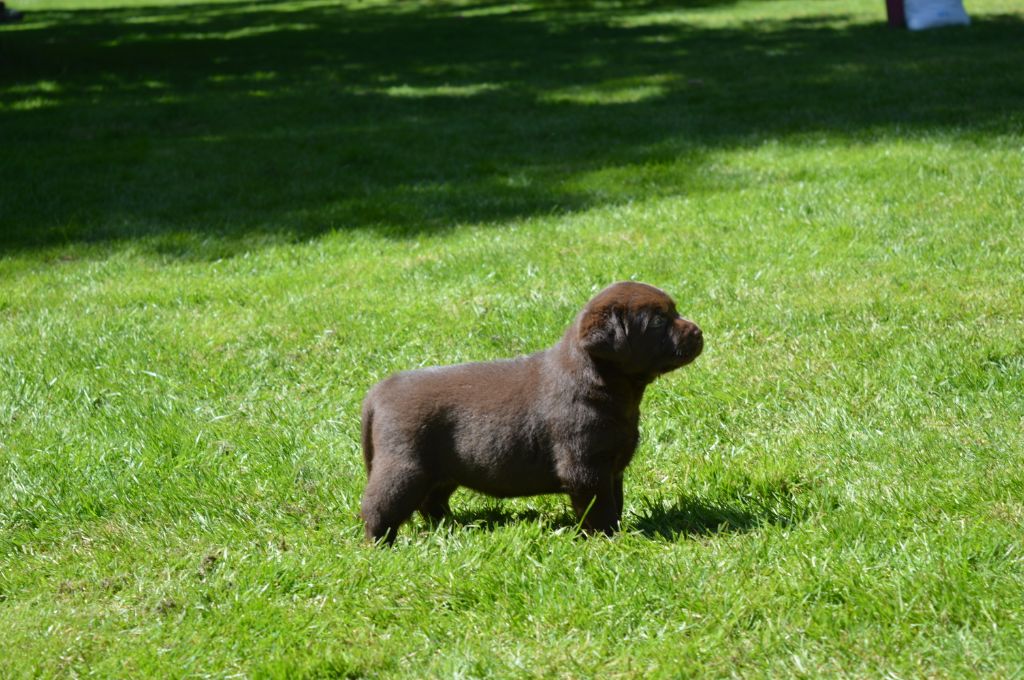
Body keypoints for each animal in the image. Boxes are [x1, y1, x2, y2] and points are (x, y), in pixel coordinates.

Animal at [360, 280, 704, 540]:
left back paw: (452, 526)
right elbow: (600, 508)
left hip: (442, 469)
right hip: (404, 467)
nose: (698, 332)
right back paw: (380, 544)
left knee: (431, 502)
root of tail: (379, 391)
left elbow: (615, 502)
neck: (600, 381)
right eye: (658, 321)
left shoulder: (612, 468)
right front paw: (607, 539)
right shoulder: (586, 467)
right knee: (379, 506)